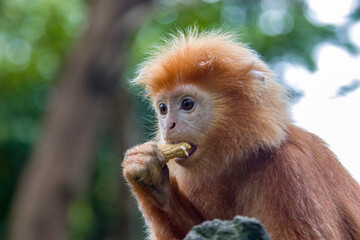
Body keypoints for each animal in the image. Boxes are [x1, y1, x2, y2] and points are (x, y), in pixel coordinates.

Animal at [122, 30, 360, 240]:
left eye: (187, 104)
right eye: (163, 108)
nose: (168, 125)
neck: (243, 161)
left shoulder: (292, 168)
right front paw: (150, 181)